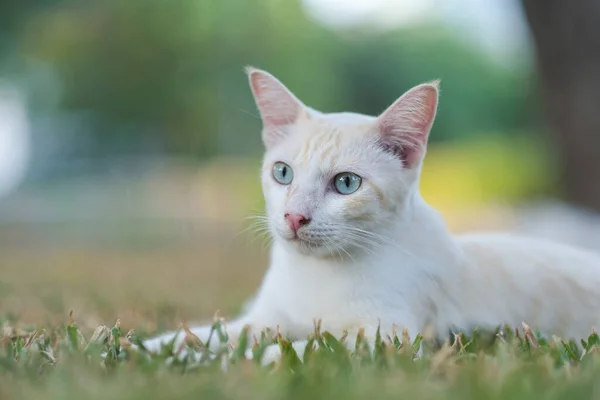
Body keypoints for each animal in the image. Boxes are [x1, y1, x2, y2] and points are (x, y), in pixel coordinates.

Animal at [142, 68, 600, 362]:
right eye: (282, 173)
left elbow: (309, 348)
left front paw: (245, 360)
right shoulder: (266, 318)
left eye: (346, 184)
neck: (314, 275)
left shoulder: (389, 336)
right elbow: (214, 334)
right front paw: (154, 349)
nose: (294, 217)